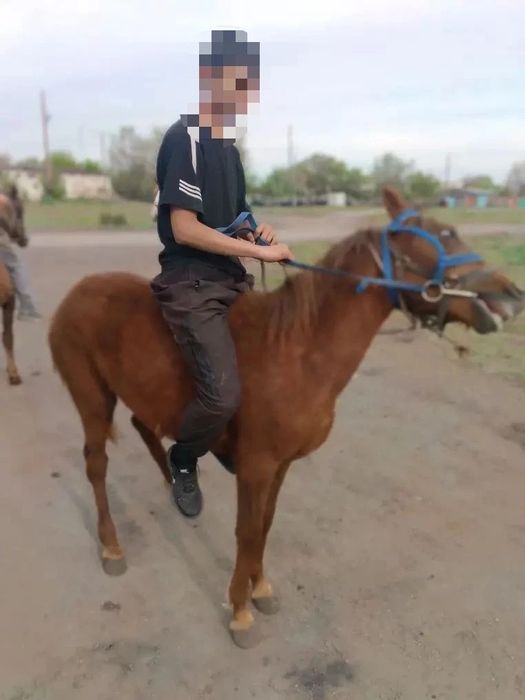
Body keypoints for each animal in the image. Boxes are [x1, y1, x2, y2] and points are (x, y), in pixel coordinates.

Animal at [48, 186, 523, 648]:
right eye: (444, 236)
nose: (510, 296)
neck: (299, 350)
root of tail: (77, 293)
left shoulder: (280, 466)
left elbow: (265, 526)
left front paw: (259, 588)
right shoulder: (256, 466)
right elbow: (247, 531)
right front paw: (240, 610)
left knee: (145, 429)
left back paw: (177, 488)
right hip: (92, 397)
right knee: (96, 464)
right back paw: (112, 547)